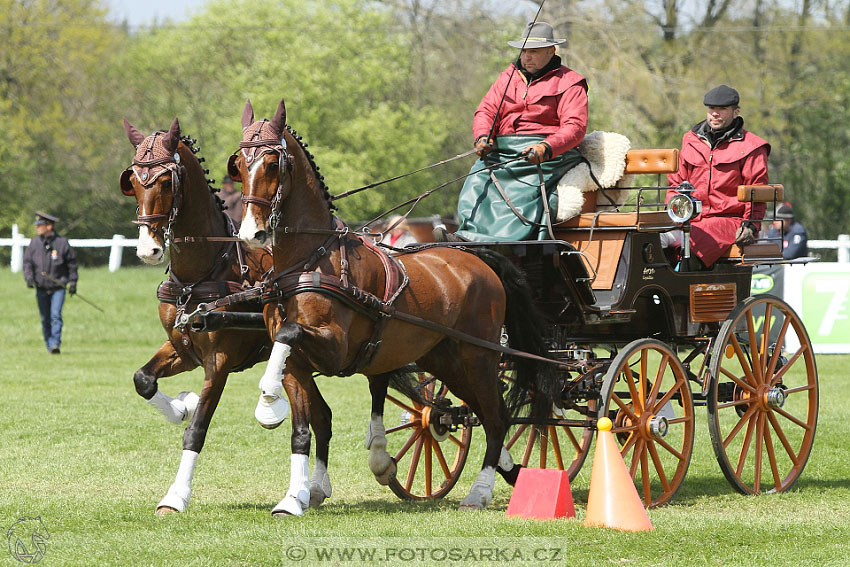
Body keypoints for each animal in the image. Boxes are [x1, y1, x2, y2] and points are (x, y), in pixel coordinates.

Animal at [118, 118, 278, 516]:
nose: (148, 250)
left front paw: (176, 496)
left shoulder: (218, 361)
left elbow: (198, 430)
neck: (198, 276)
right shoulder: (182, 347)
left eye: (165, 181)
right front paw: (181, 407)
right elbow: (143, 380)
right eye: (133, 180)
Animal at [229, 100, 556, 516]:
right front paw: (296, 495)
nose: (250, 234)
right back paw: (509, 471)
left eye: (273, 164)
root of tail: (476, 256)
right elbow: (307, 426)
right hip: (444, 359)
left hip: (479, 355)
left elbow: (291, 333)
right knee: (480, 411)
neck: (307, 261)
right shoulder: (299, 365)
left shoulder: (335, 347)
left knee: (497, 417)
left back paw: (479, 492)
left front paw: (267, 399)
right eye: (239, 164)